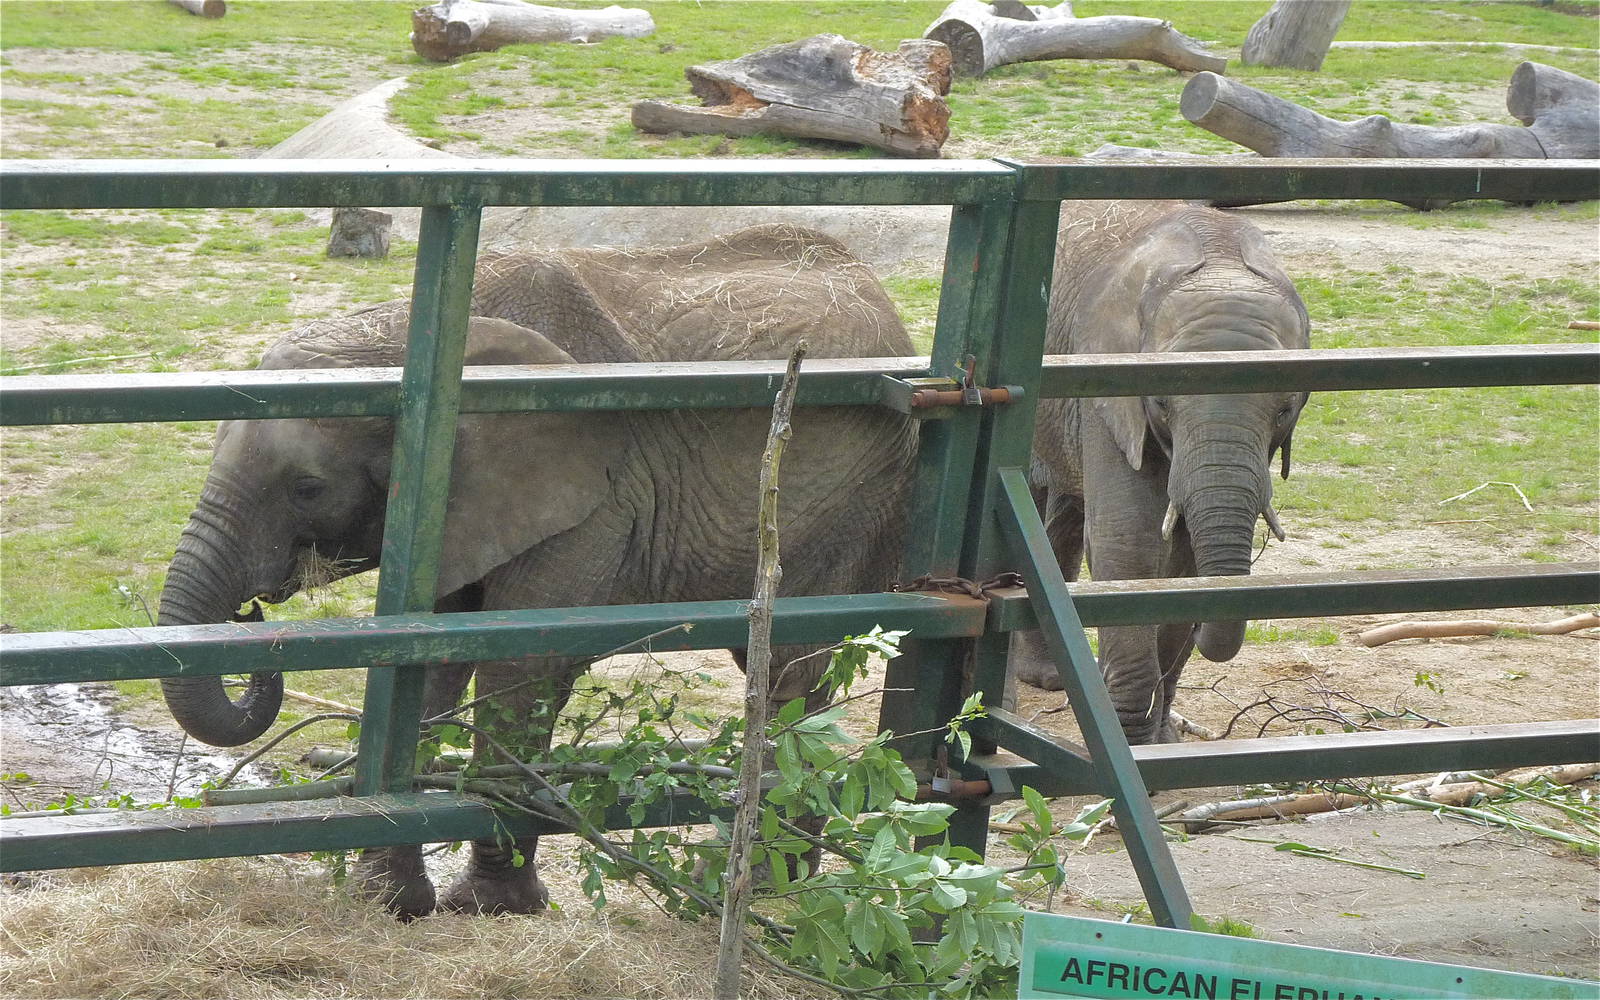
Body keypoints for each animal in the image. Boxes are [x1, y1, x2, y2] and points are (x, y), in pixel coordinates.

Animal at [155, 224, 918, 917]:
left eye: (307, 488)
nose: (251, 612)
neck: (413, 335)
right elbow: (427, 659)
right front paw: (390, 902)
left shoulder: (595, 490)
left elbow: (519, 665)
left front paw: (491, 905)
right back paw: (777, 883)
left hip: (856, 499)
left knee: (795, 672)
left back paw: (753, 886)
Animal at [1010, 200, 1311, 745]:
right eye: (1164, 402)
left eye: (1284, 409)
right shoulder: (1108, 382)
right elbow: (1128, 539)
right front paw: (1130, 736)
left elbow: (1185, 556)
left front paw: (1161, 739)